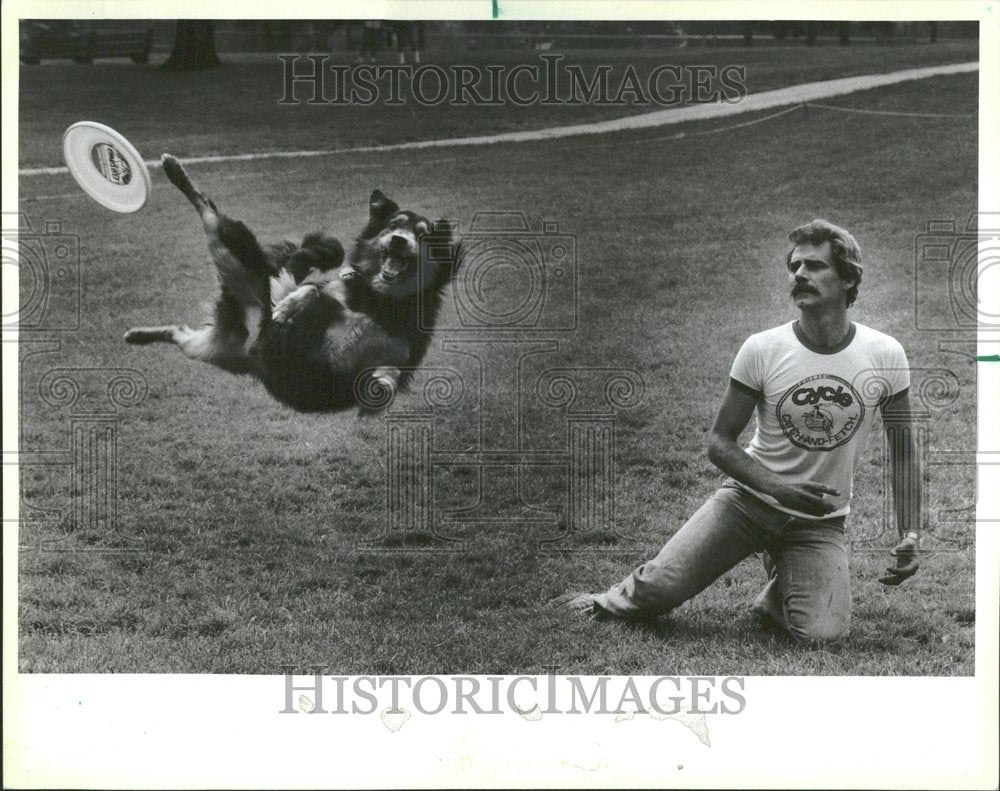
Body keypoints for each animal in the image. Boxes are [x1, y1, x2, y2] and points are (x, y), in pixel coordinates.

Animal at [122, 155, 460, 414]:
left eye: (422, 234)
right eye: (392, 225)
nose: (399, 240)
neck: (379, 300)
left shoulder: (396, 359)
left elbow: (388, 375)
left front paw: (383, 382)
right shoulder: (327, 298)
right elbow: (311, 290)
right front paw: (287, 307)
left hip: (206, 346)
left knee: (178, 330)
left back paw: (137, 335)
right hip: (232, 249)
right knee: (207, 206)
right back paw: (173, 169)